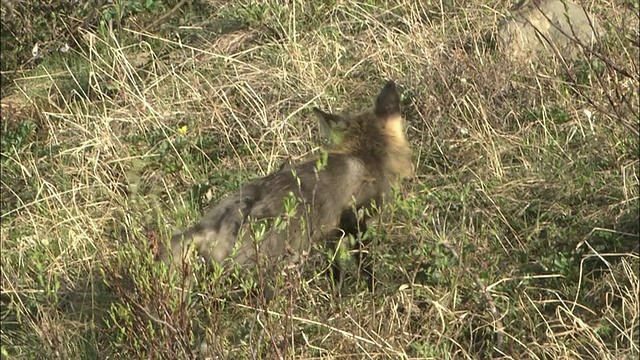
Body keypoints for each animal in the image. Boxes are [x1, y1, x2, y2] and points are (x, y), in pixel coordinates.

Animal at [158, 81, 412, 296]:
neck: (364, 154)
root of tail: (212, 224)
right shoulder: (357, 221)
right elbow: (365, 265)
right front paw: (372, 290)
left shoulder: (330, 234)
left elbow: (335, 271)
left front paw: (338, 297)